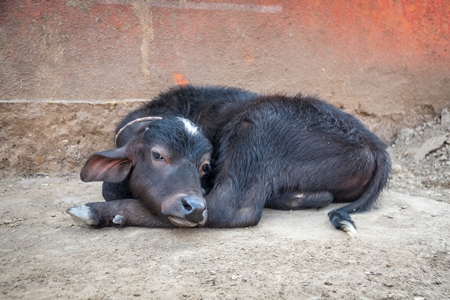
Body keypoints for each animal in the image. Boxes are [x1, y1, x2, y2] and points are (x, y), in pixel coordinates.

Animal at [67, 85, 390, 237]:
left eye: (204, 165)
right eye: (157, 154)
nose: (194, 206)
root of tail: (374, 144)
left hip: (257, 122)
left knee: (230, 209)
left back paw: (94, 212)